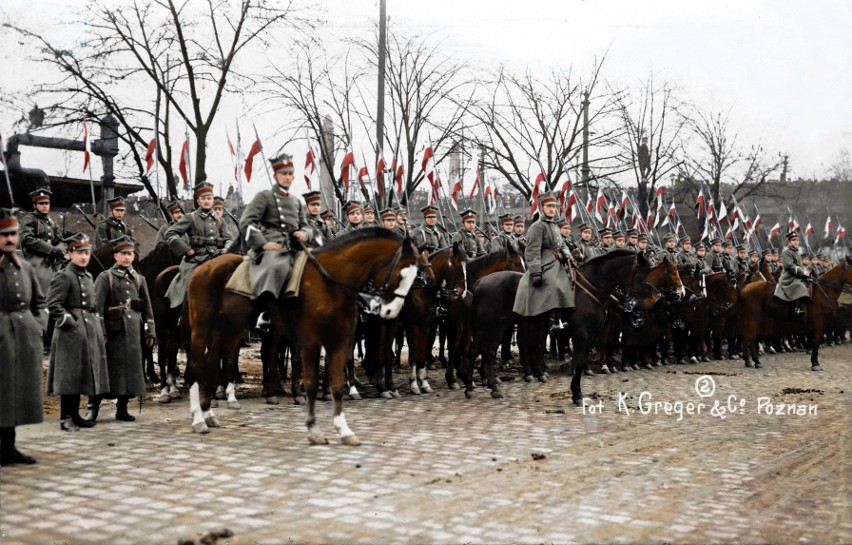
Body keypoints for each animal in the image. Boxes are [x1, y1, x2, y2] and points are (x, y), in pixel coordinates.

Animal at [183, 227, 430, 444]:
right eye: (400, 273)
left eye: (415, 276)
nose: (389, 312)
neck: (331, 283)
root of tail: (202, 269)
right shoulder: (311, 341)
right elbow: (310, 382)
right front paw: (313, 429)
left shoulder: (338, 341)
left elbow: (336, 384)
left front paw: (344, 430)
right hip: (202, 329)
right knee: (196, 366)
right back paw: (198, 419)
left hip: (224, 329)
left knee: (211, 364)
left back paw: (208, 414)